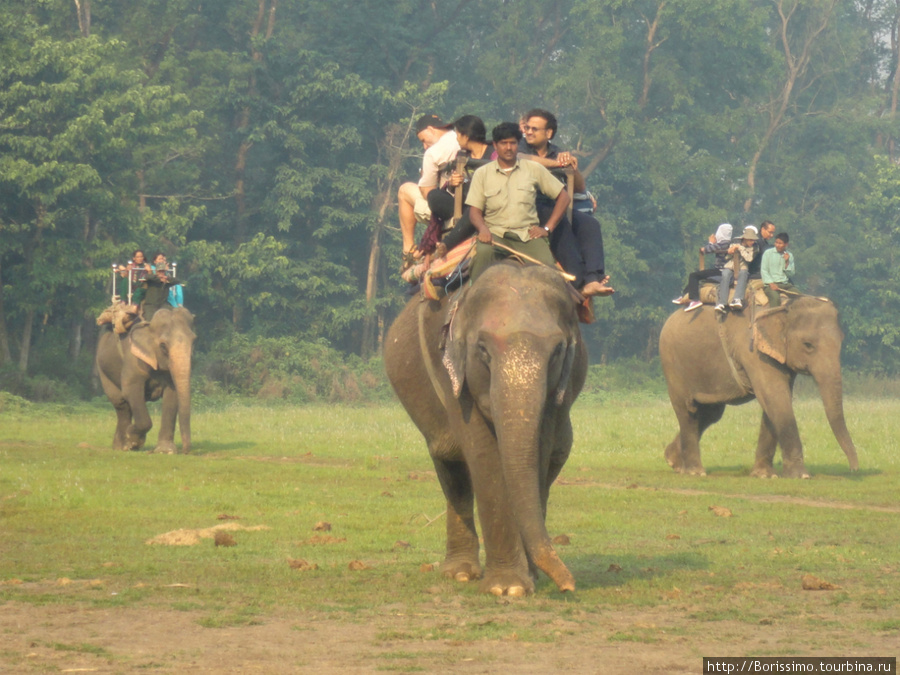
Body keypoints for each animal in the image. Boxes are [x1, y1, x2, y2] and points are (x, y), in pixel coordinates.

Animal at [94, 306, 194, 454]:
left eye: (194, 341)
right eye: (163, 346)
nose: (185, 452)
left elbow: (172, 395)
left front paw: (165, 451)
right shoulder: (133, 360)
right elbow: (131, 391)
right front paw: (134, 440)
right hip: (103, 370)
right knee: (121, 403)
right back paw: (122, 446)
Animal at [384, 262, 588, 596]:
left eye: (557, 351)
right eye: (482, 349)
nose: (568, 585)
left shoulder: (559, 388)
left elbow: (537, 453)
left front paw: (525, 580)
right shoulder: (449, 372)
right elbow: (483, 455)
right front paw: (507, 588)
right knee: (452, 468)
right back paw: (460, 573)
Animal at [660, 298, 856, 480]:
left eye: (841, 341)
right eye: (808, 344)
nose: (853, 469)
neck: (782, 308)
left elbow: (774, 401)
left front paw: (764, 475)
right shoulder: (754, 351)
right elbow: (775, 397)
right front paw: (801, 476)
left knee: (711, 413)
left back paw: (674, 461)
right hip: (673, 366)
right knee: (688, 410)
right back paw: (695, 472)